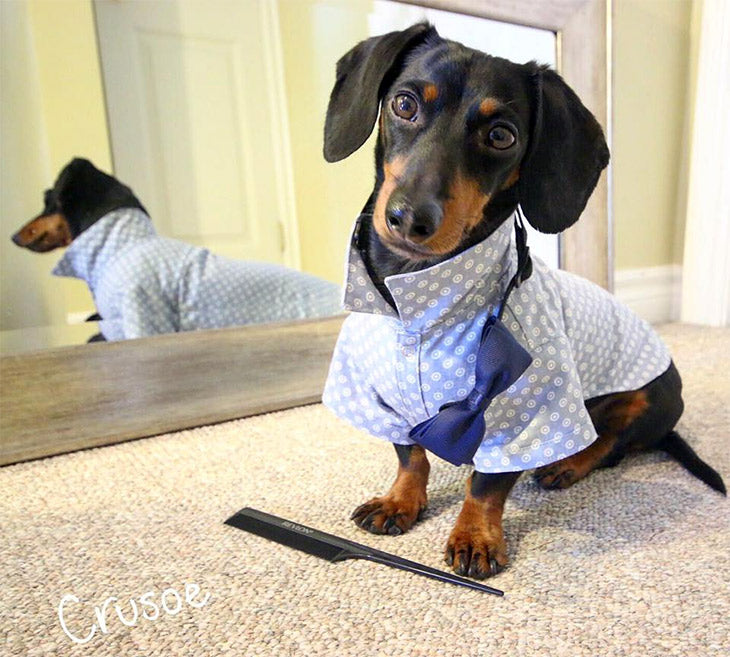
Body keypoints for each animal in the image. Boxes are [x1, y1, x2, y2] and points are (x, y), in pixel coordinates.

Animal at [320, 24, 724, 580]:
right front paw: (400, 501)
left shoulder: (525, 410)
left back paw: (565, 464)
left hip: (650, 398)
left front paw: (475, 535)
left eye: (501, 136)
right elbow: (410, 455)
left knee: (609, 445)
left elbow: (487, 483)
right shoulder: (376, 396)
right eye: (404, 104)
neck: (417, 304)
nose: (409, 219)